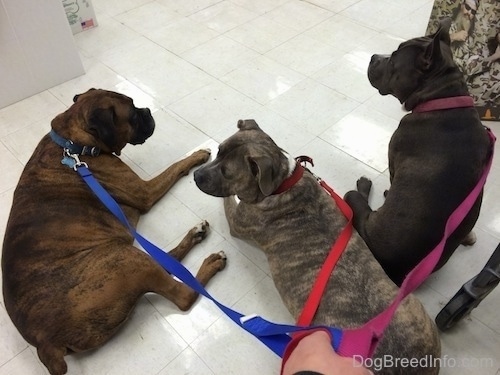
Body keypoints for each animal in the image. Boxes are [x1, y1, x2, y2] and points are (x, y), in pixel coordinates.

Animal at [1, 89, 227, 375]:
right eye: (132, 114)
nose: (147, 111)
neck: (75, 145)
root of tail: (44, 343)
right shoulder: (145, 192)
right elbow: (175, 166)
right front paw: (197, 156)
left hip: (122, 257)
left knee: (165, 261)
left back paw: (196, 235)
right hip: (123, 260)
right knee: (183, 295)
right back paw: (211, 263)